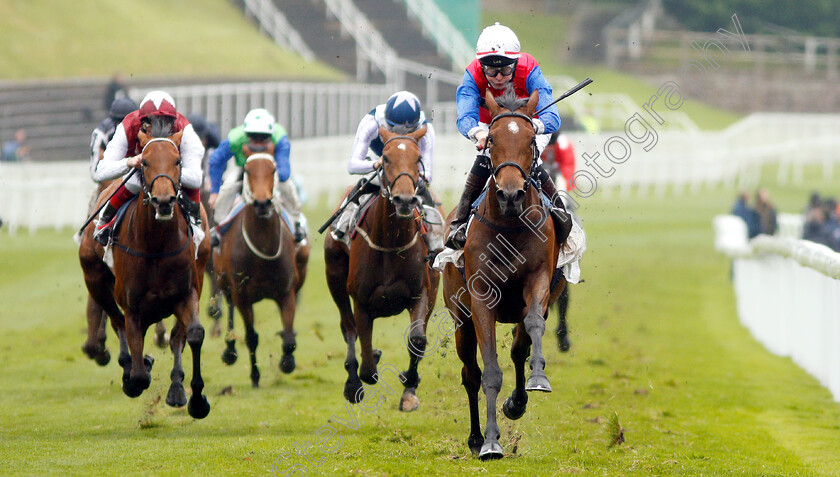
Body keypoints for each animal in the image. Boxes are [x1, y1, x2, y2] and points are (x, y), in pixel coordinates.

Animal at [78, 117, 212, 418]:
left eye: (177, 161)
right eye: (145, 162)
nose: (164, 201)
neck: (156, 245)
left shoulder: (186, 293)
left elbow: (194, 334)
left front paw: (197, 399)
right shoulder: (133, 306)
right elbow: (138, 371)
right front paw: (136, 372)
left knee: (176, 337)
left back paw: (176, 387)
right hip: (95, 279)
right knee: (116, 321)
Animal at [213, 142, 308, 386]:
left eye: (273, 170)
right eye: (247, 171)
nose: (263, 203)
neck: (262, 248)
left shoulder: (286, 292)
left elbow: (288, 336)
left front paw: (287, 361)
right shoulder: (243, 296)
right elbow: (251, 337)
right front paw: (255, 376)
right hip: (225, 282)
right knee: (229, 308)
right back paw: (229, 349)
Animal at [324, 124, 442, 410]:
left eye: (417, 159)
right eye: (386, 158)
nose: (404, 200)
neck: (391, 241)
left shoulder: (420, 293)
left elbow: (417, 340)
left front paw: (409, 385)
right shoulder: (362, 303)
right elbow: (368, 368)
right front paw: (365, 370)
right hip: (335, 278)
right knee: (348, 327)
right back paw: (352, 383)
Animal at [442, 89, 568, 458]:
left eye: (531, 141)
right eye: (493, 139)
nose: (510, 195)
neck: (510, 226)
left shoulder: (538, 283)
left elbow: (532, 329)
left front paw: (534, 383)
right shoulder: (481, 298)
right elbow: (489, 373)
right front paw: (489, 442)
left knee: (518, 350)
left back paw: (518, 399)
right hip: (460, 318)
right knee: (470, 372)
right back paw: (474, 437)